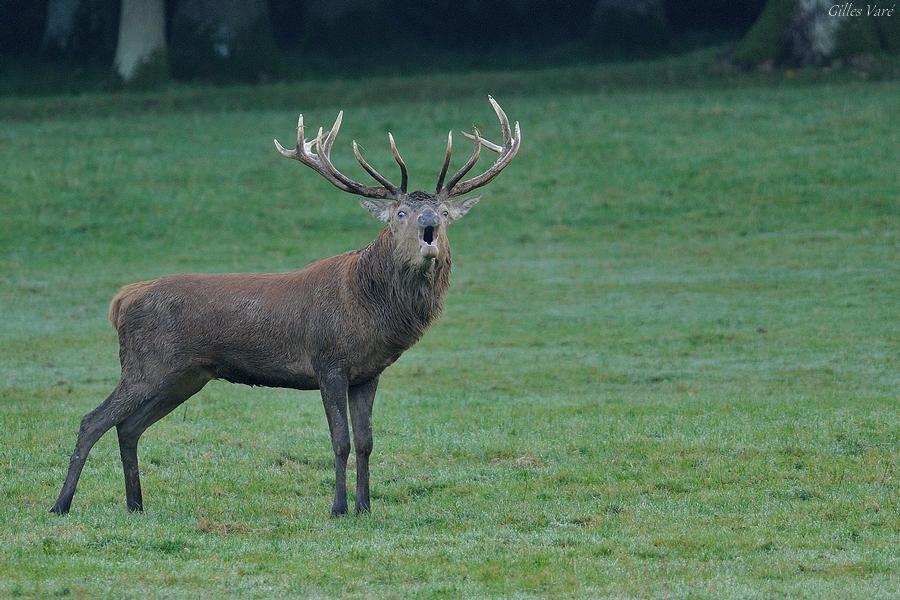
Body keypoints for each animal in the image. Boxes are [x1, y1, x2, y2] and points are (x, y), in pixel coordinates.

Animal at [49, 97, 524, 516]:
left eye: (443, 212)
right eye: (399, 214)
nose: (429, 228)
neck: (370, 306)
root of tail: (122, 299)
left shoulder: (367, 373)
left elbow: (367, 441)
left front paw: (366, 507)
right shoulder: (329, 362)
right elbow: (340, 440)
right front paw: (338, 508)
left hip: (185, 375)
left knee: (128, 426)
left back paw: (136, 505)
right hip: (147, 364)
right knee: (92, 420)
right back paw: (61, 505)